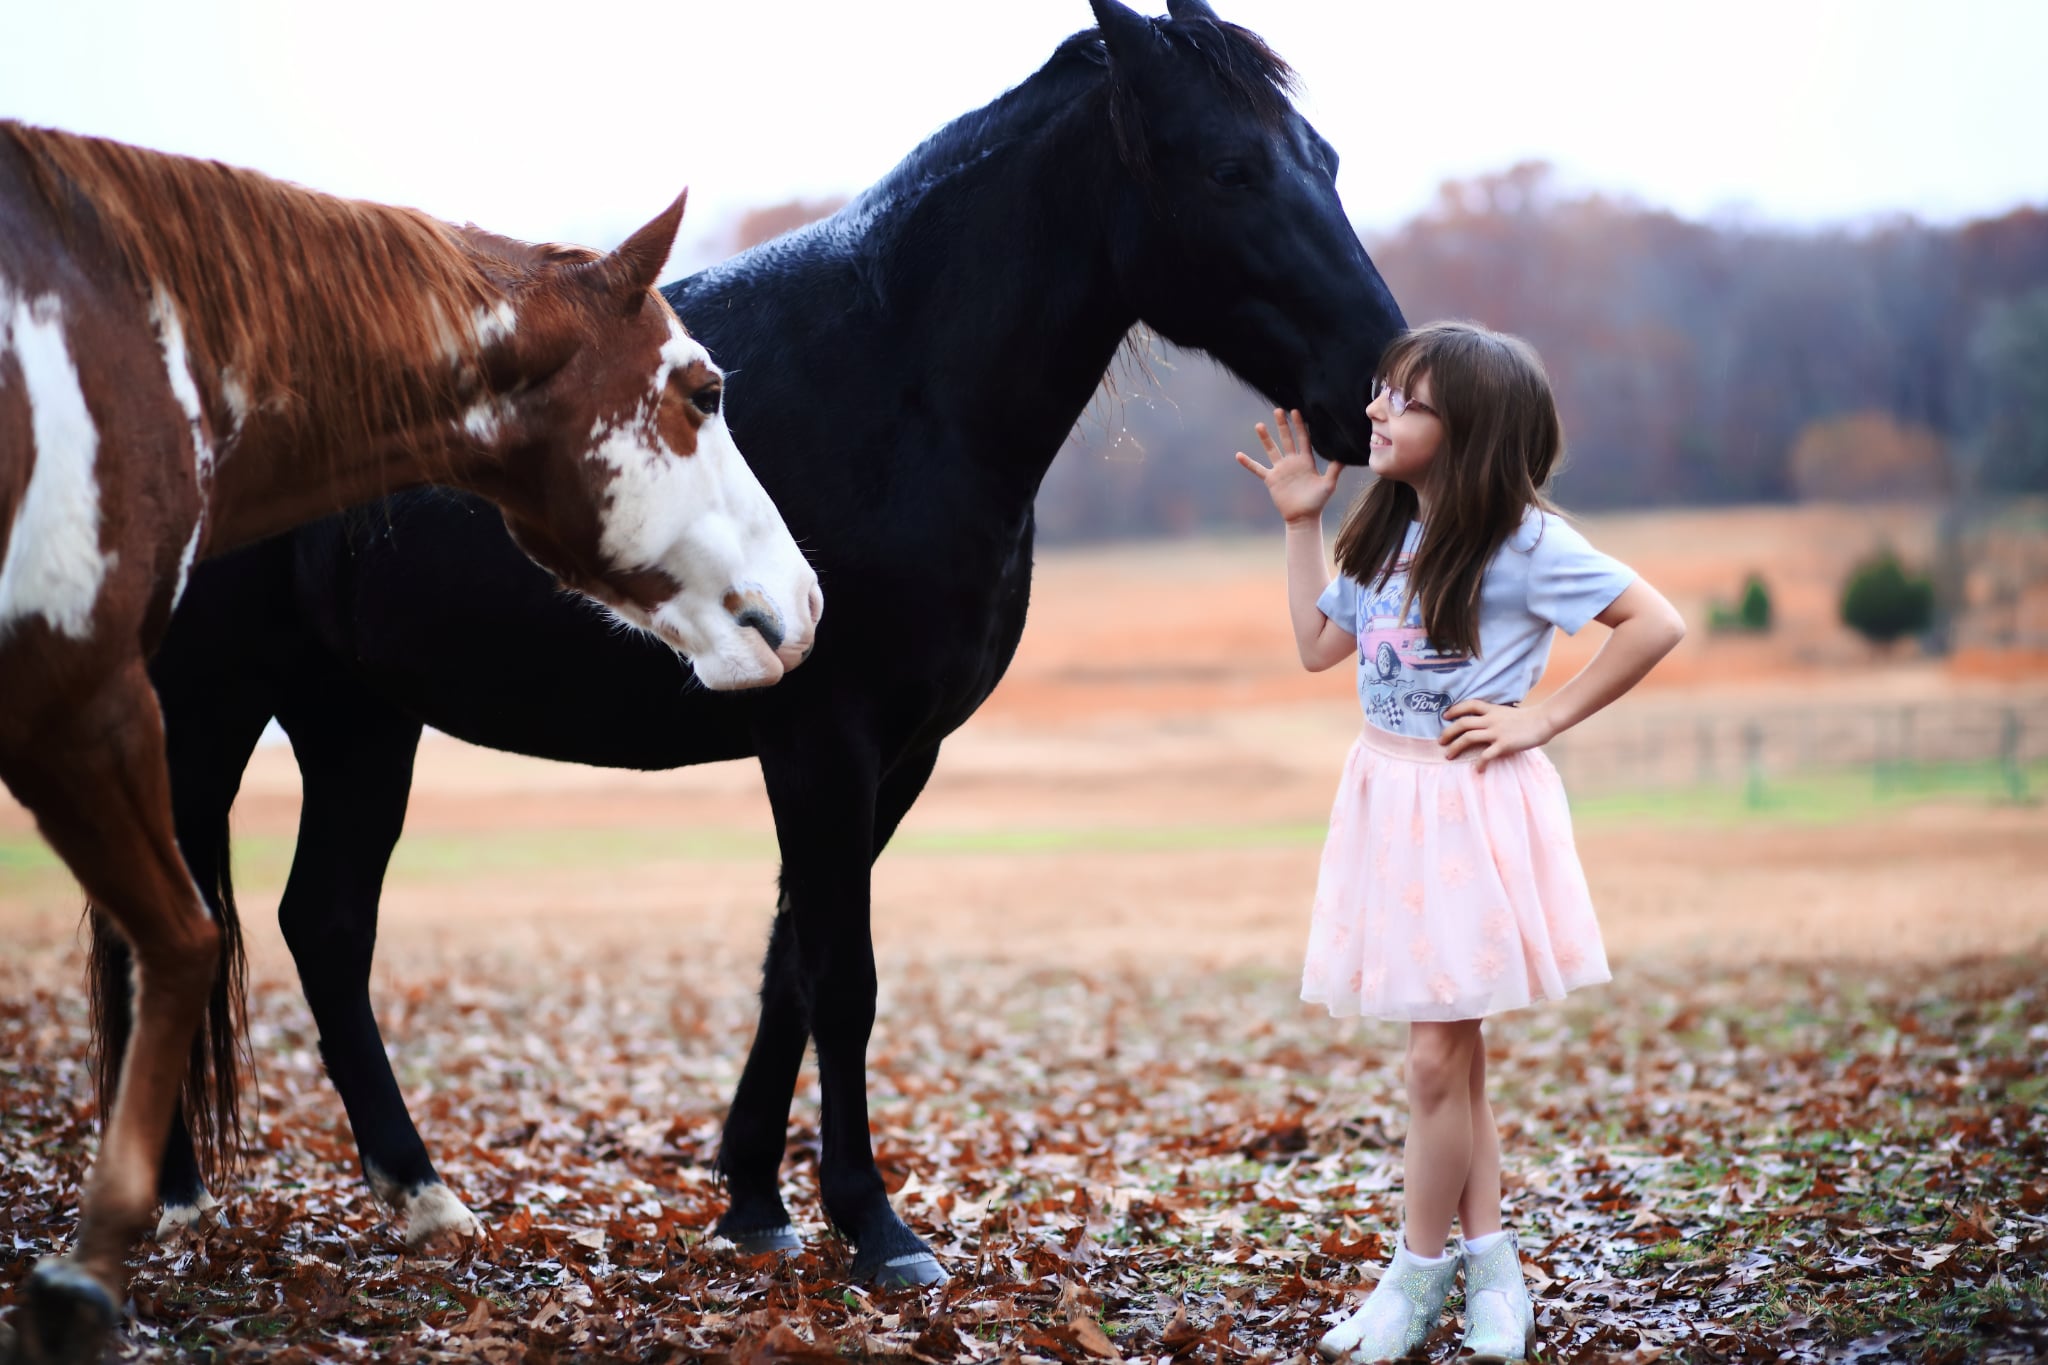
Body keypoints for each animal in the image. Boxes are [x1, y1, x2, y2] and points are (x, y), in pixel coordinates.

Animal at [0, 120, 817, 1364]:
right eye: (704, 389)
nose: (803, 605)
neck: (120, 345)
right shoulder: (80, 697)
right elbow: (184, 940)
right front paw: (86, 1276)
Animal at [90, 0, 1405, 1290]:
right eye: (1230, 168)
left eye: (1330, 160)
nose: (1373, 390)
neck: (898, 381)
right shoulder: (824, 737)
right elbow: (843, 976)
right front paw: (875, 1228)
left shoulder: (894, 755)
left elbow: (792, 968)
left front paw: (759, 1205)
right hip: (211, 707)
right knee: (171, 919)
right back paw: (182, 1194)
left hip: (358, 717)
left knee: (323, 924)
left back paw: (420, 1200)